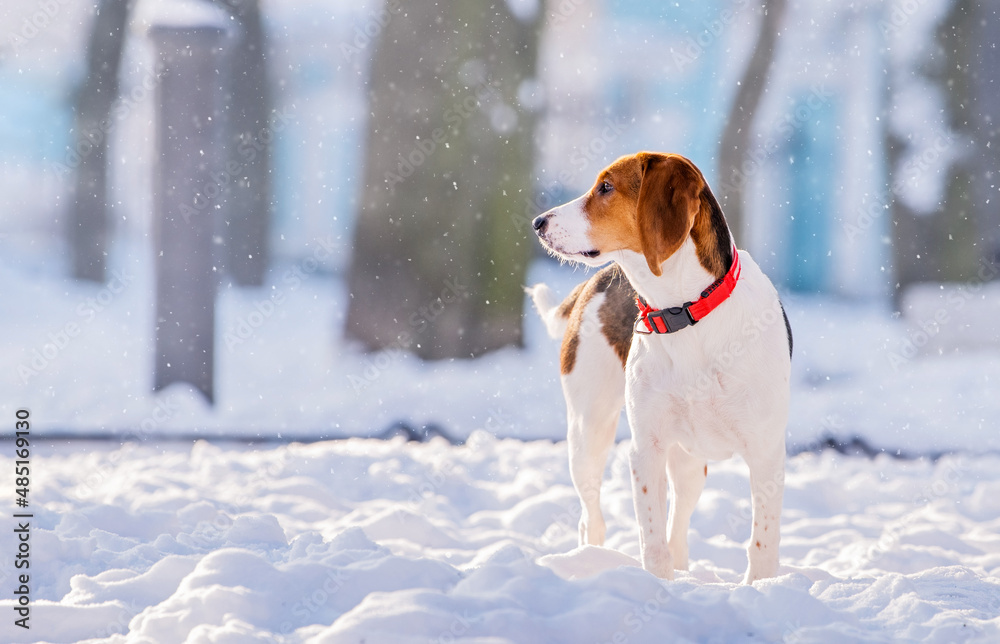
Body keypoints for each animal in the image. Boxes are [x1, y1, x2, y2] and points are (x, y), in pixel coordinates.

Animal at [528, 152, 792, 584]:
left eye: (606, 187)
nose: (538, 222)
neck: (685, 312)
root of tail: (601, 278)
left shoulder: (767, 451)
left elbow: (762, 541)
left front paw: (761, 587)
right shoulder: (646, 448)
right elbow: (651, 539)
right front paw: (658, 586)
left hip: (689, 464)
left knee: (679, 526)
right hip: (589, 431)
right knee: (592, 518)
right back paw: (590, 558)